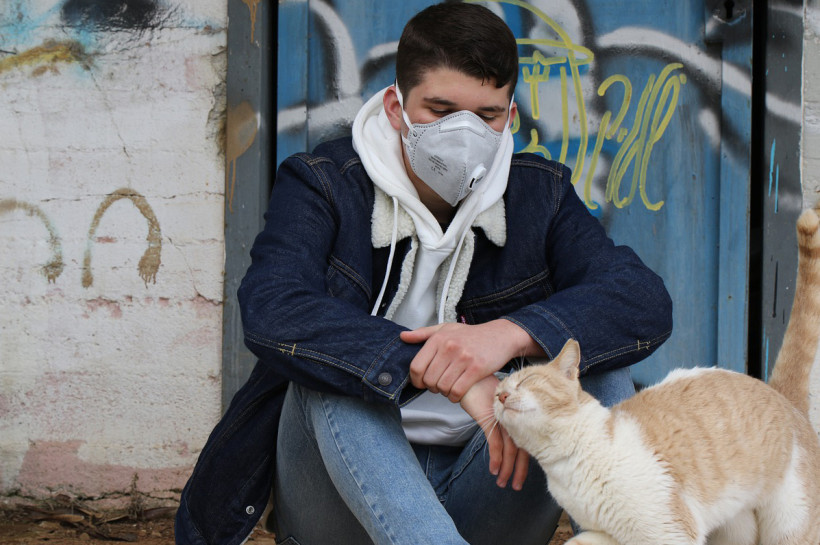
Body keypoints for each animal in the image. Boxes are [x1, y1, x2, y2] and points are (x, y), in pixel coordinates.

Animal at [494, 207, 820, 545]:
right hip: (735, 530)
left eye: (527, 382)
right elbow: (577, 541)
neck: (568, 466)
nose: (501, 396)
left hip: (788, 528)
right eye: (497, 390)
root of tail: (780, 394)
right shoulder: (605, 535)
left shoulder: (670, 532)